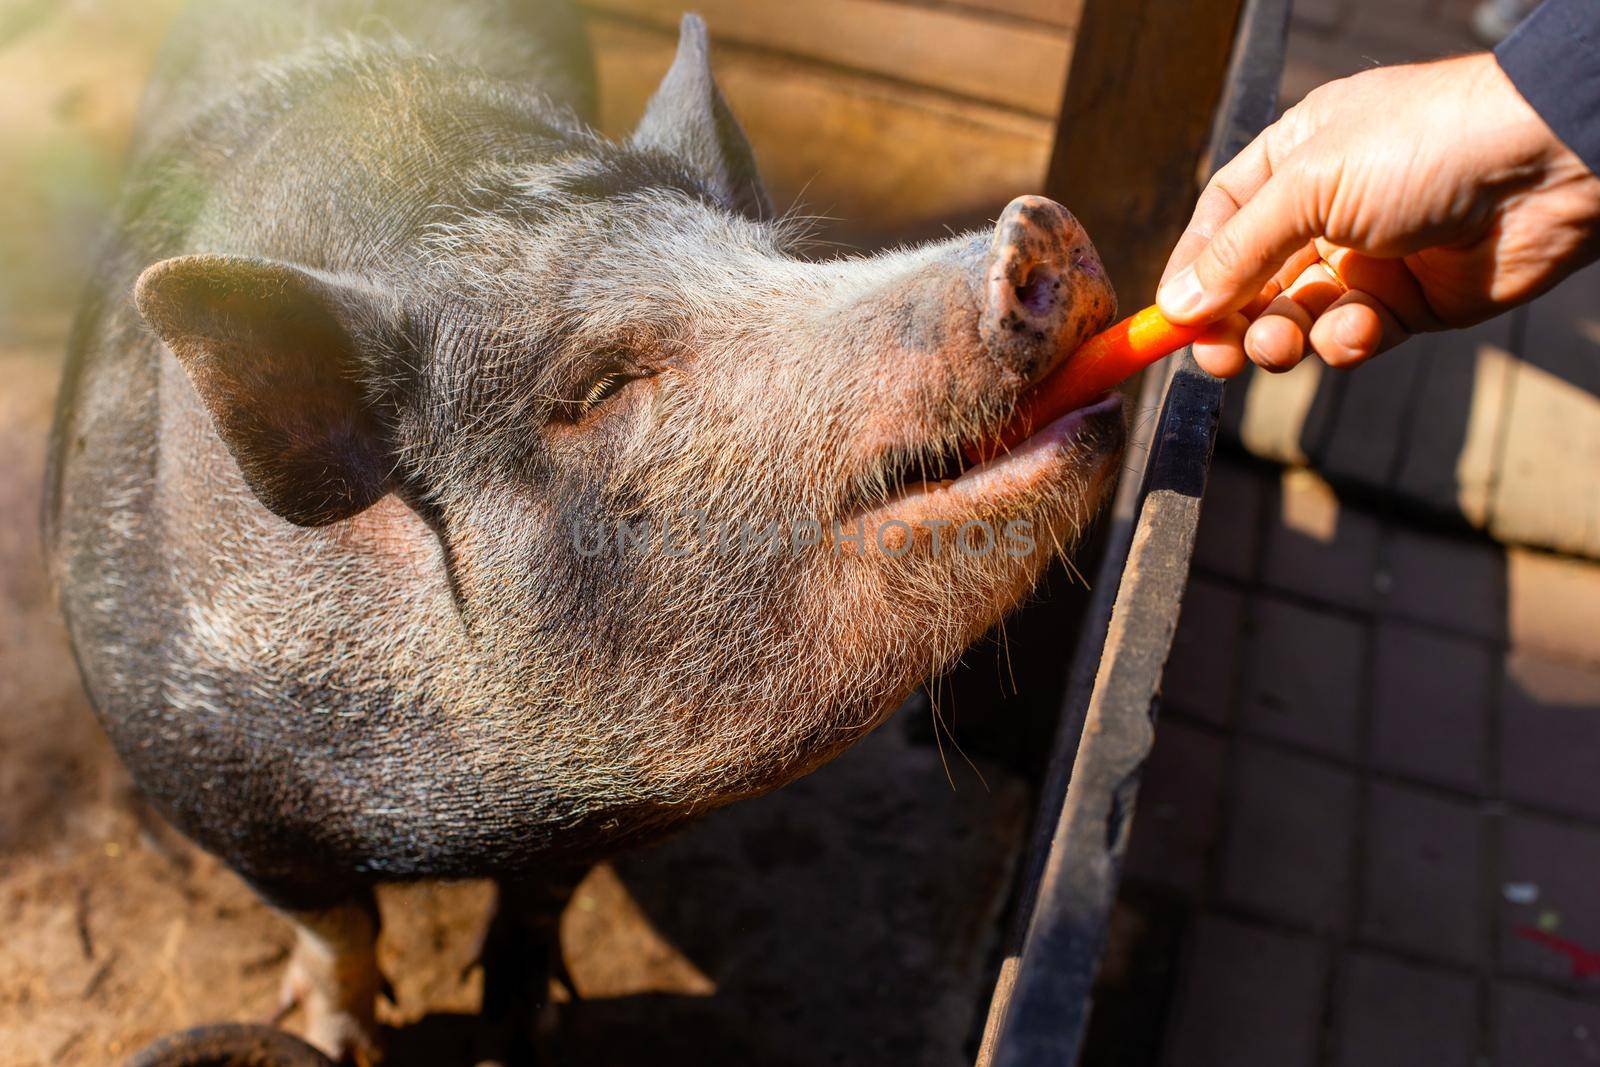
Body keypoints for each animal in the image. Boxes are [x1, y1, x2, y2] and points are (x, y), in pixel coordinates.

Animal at [46, 4, 1126, 1062]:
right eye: (598, 385)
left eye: (775, 260)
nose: (1033, 224)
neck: (461, 817)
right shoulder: (191, 768)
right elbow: (336, 924)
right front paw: (340, 1042)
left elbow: (540, 900)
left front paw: (530, 1023)